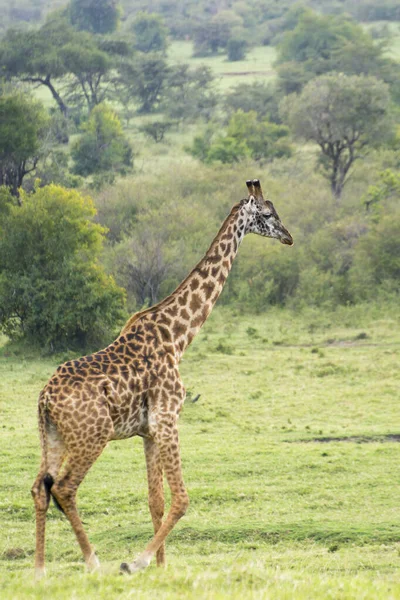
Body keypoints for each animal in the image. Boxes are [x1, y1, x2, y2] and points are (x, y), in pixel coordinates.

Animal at [31, 178, 292, 576]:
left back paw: (39, 569)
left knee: (39, 488)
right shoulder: (167, 418)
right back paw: (93, 562)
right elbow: (181, 498)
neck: (178, 336)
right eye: (267, 213)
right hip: (93, 436)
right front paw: (136, 562)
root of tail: (45, 399)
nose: (288, 237)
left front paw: (160, 567)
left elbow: (156, 499)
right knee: (63, 488)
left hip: (54, 435)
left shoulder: (148, 430)